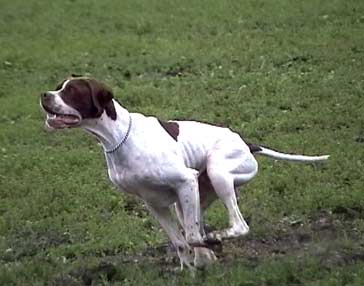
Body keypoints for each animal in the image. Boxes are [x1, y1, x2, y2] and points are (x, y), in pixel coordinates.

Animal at [40, 77, 330, 270]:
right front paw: (191, 269)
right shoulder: (155, 203)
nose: (43, 95)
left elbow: (191, 237)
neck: (120, 137)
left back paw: (215, 240)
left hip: (216, 172)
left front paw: (204, 253)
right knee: (201, 227)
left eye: (71, 91)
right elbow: (180, 242)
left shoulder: (185, 181)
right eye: (59, 86)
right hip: (193, 196)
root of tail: (247, 144)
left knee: (237, 226)